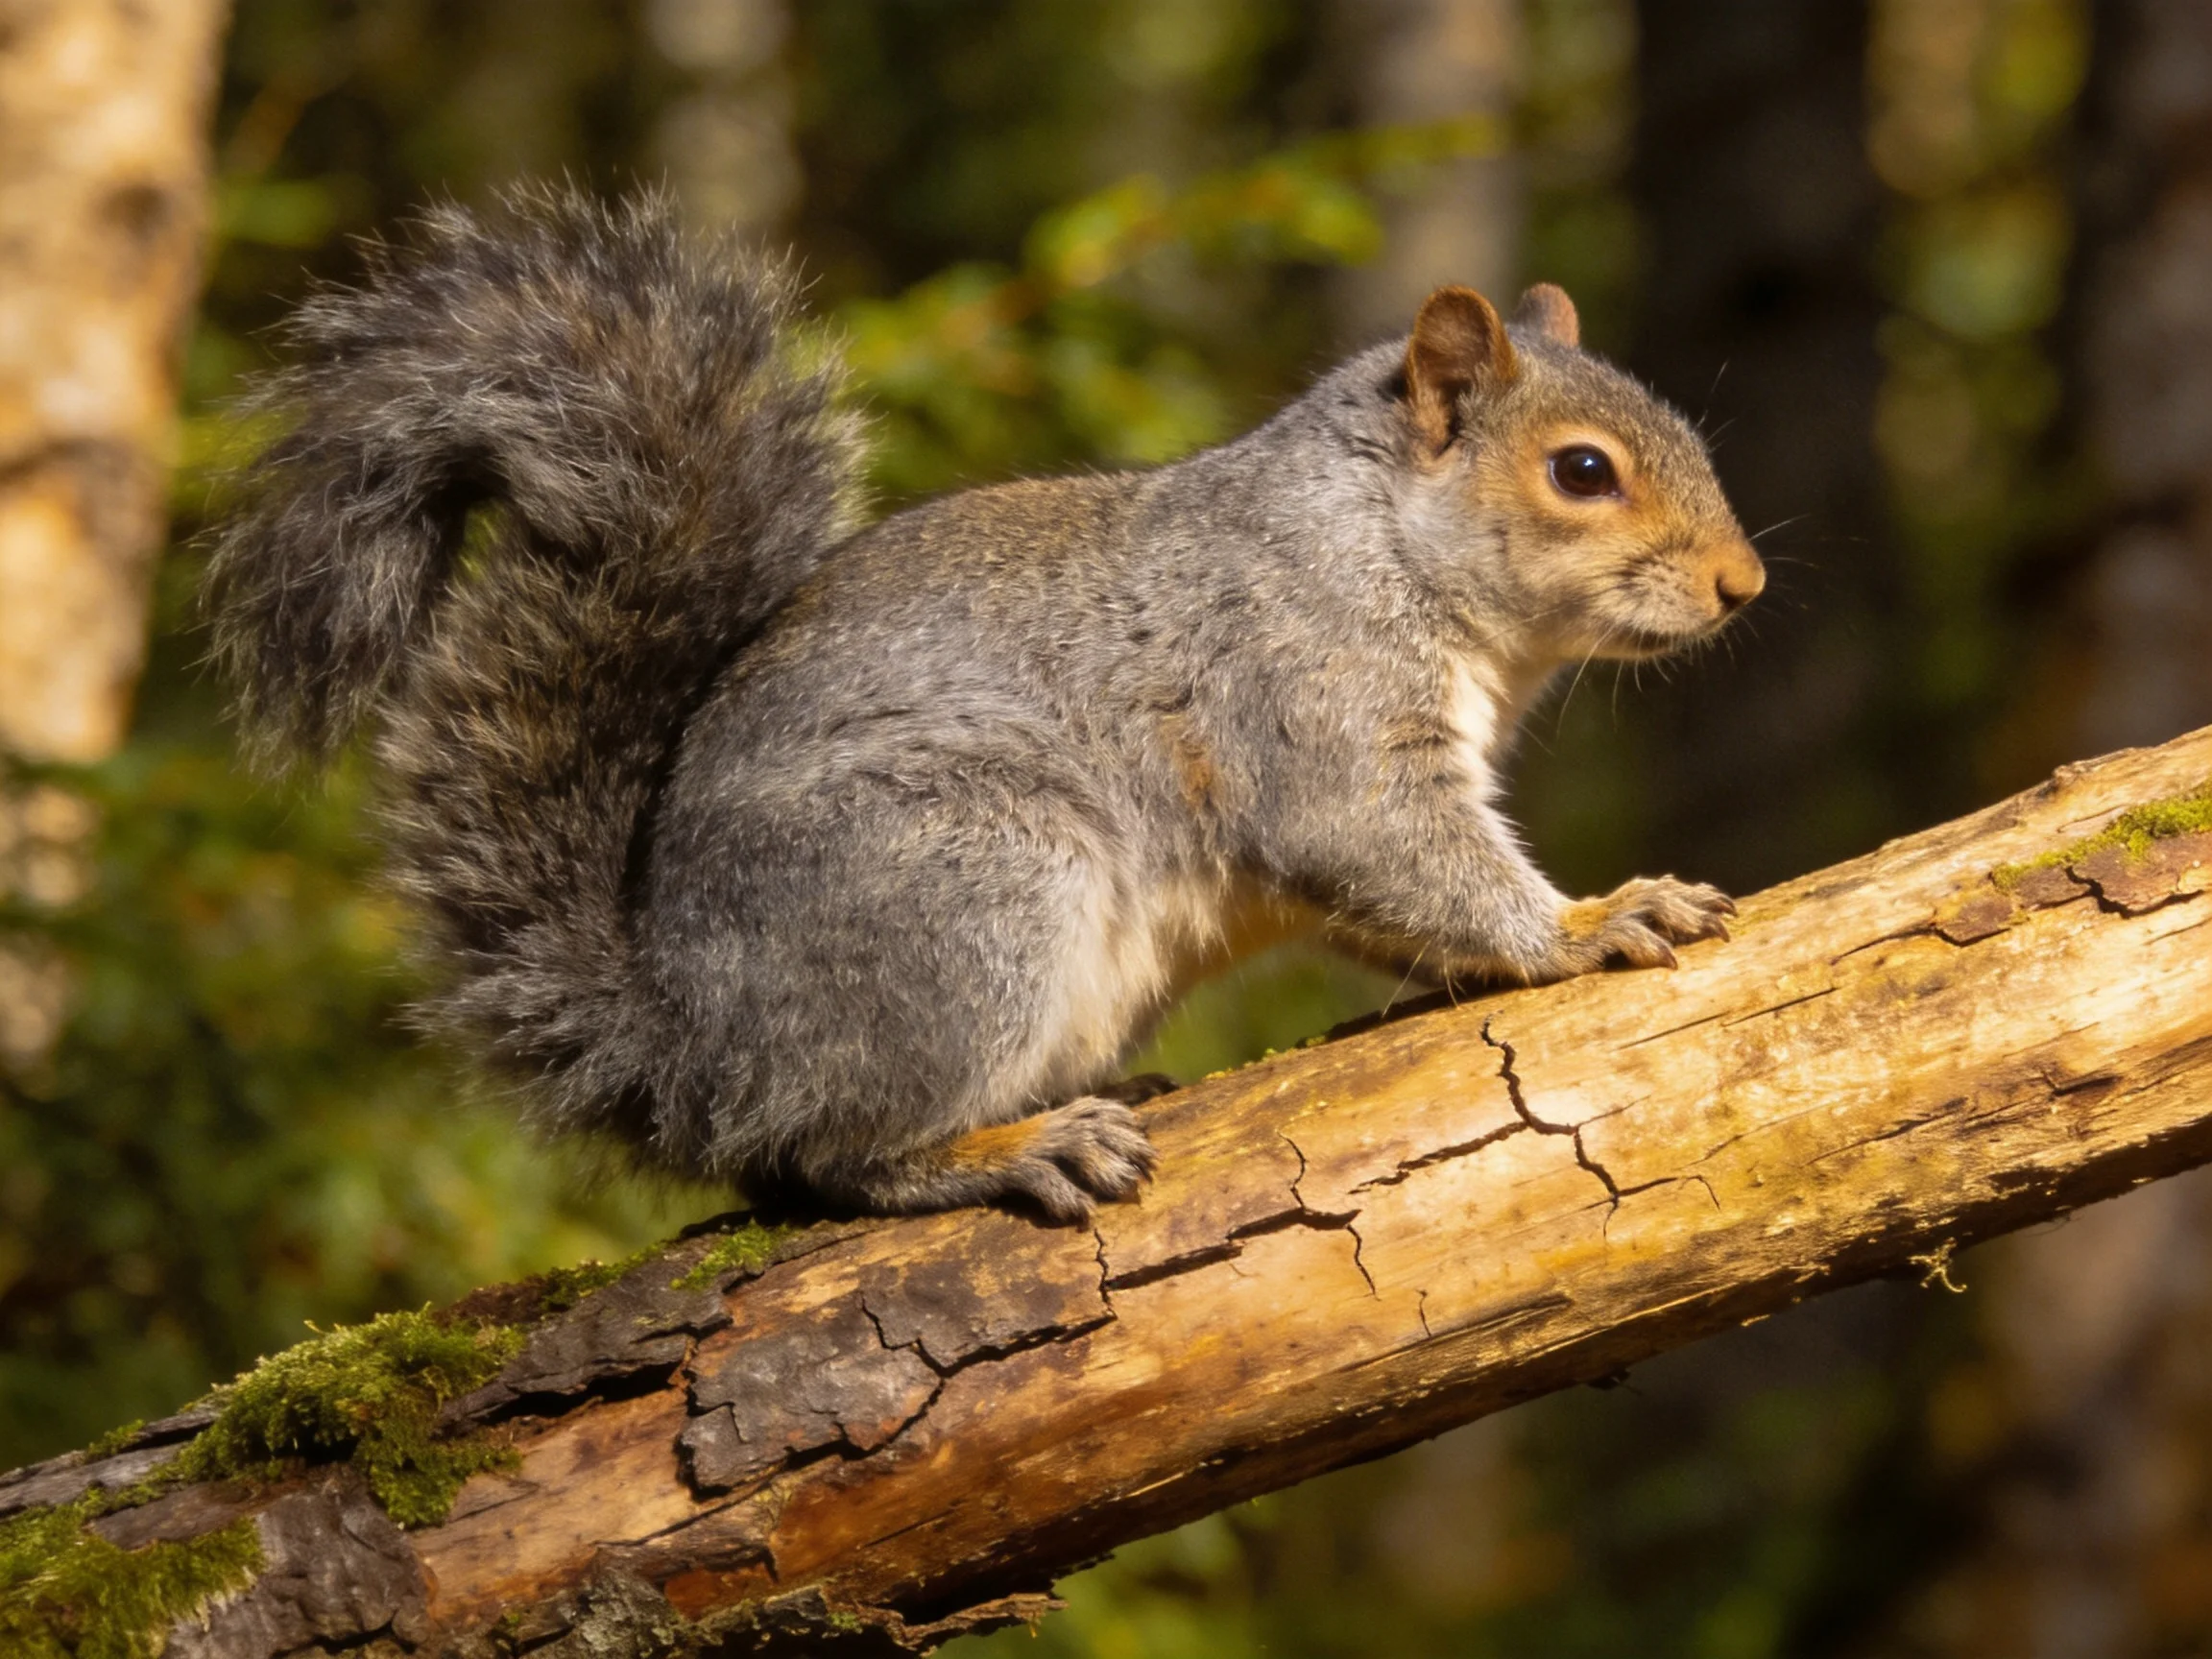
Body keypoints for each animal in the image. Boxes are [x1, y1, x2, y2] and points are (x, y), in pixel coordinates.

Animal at [206, 187, 1763, 1224]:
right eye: (1580, 472)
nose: (1743, 585)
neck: (1384, 538)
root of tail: (692, 1046)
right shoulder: (1312, 693)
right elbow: (1397, 850)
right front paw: (1591, 918)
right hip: (976, 882)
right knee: (829, 1155)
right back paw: (1011, 1148)